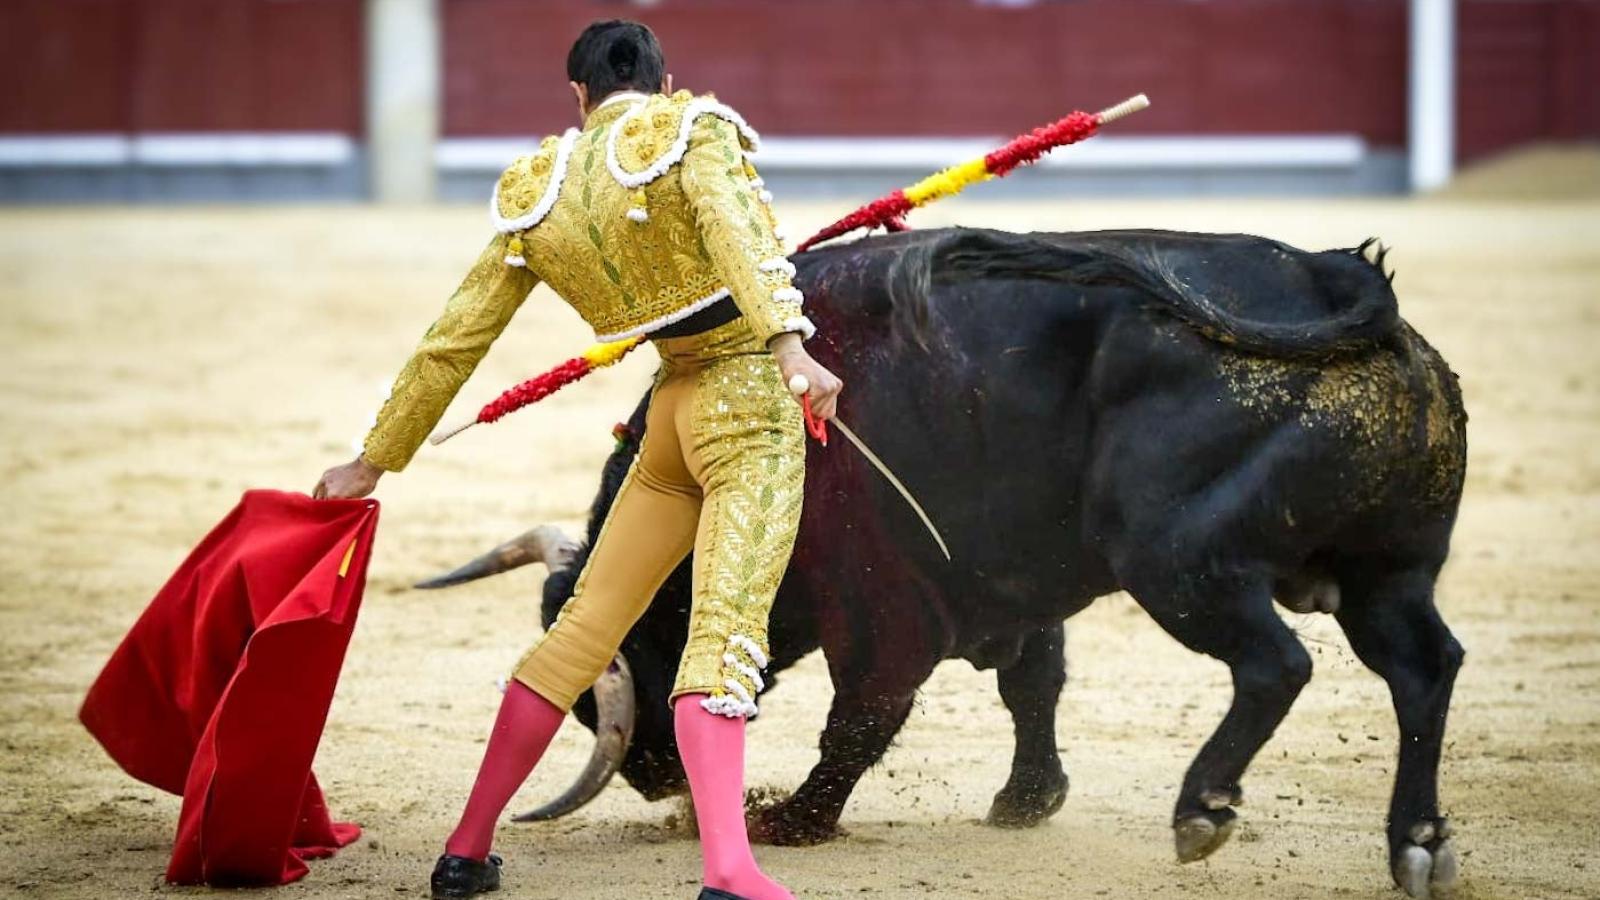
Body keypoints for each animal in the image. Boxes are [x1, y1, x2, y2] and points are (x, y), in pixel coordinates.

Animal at [419, 225, 1465, 896]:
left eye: (640, 649)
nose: (654, 780)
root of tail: (1337, 285)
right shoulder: (1014, 589)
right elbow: (1033, 683)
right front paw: (1025, 801)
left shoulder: (885, 605)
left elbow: (864, 716)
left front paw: (791, 822)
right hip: (1388, 571)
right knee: (1425, 667)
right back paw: (1417, 845)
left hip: (1178, 562)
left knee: (1276, 663)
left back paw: (1200, 812)